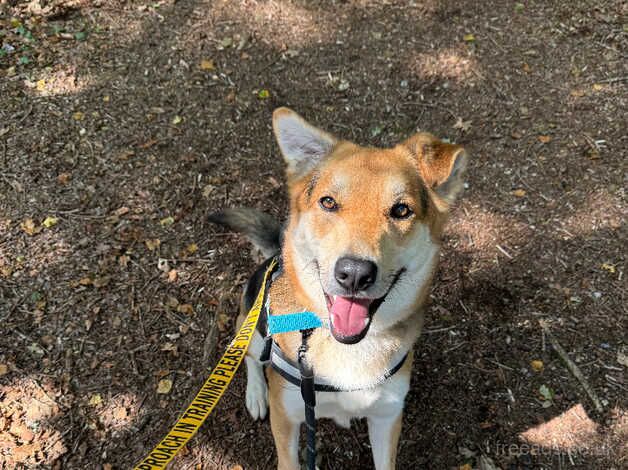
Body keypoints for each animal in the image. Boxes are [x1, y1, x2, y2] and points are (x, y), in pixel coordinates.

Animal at [210, 108, 466, 468]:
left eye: (402, 210)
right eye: (328, 202)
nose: (355, 274)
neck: (349, 348)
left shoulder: (387, 417)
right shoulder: (287, 416)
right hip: (254, 323)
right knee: (248, 353)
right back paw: (256, 393)